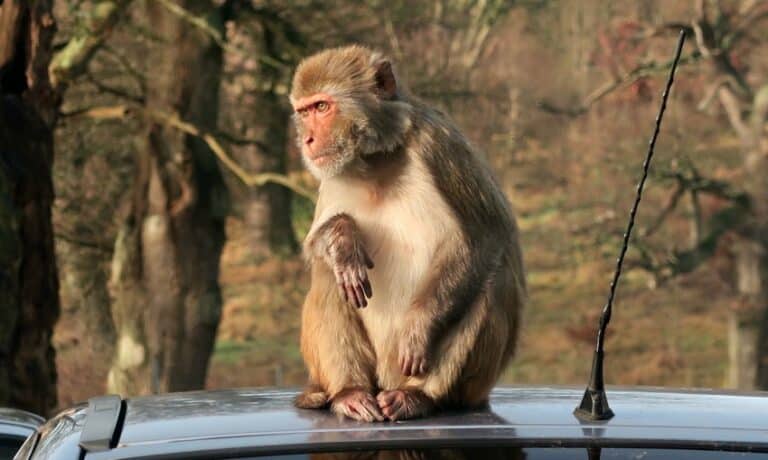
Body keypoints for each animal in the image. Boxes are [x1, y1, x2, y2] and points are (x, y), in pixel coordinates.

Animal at [290, 45, 526, 422]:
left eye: (322, 107)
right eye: (304, 111)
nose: (307, 140)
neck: (376, 160)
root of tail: (384, 381)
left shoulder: (438, 145)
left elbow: (483, 235)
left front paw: (418, 330)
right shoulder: (331, 173)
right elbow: (315, 244)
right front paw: (343, 240)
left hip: (467, 385)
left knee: (491, 280)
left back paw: (417, 396)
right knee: (329, 275)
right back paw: (349, 392)